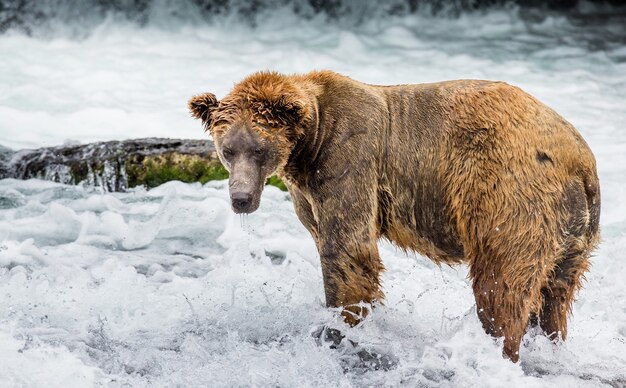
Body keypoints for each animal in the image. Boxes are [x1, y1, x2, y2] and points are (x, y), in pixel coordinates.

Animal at [188, 69, 596, 360]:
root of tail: (581, 160)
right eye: (228, 150)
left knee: (501, 280)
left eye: (258, 149)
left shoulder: (349, 162)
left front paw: (341, 328)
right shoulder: (308, 194)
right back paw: (548, 342)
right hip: (573, 230)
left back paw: (498, 347)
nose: (241, 198)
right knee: (555, 293)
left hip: (509, 192)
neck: (308, 147)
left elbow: (348, 251)